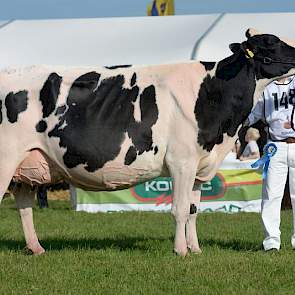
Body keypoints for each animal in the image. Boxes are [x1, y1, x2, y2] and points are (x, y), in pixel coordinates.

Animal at [0, 30, 295, 256]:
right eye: (271, 42)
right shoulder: (181, 162)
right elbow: (179, 209)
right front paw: (181, 251)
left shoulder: (200, 165)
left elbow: (193, 210)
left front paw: (196, 249)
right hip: (5, 161)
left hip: (27, 166)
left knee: (24, 206)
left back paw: (36, 248)